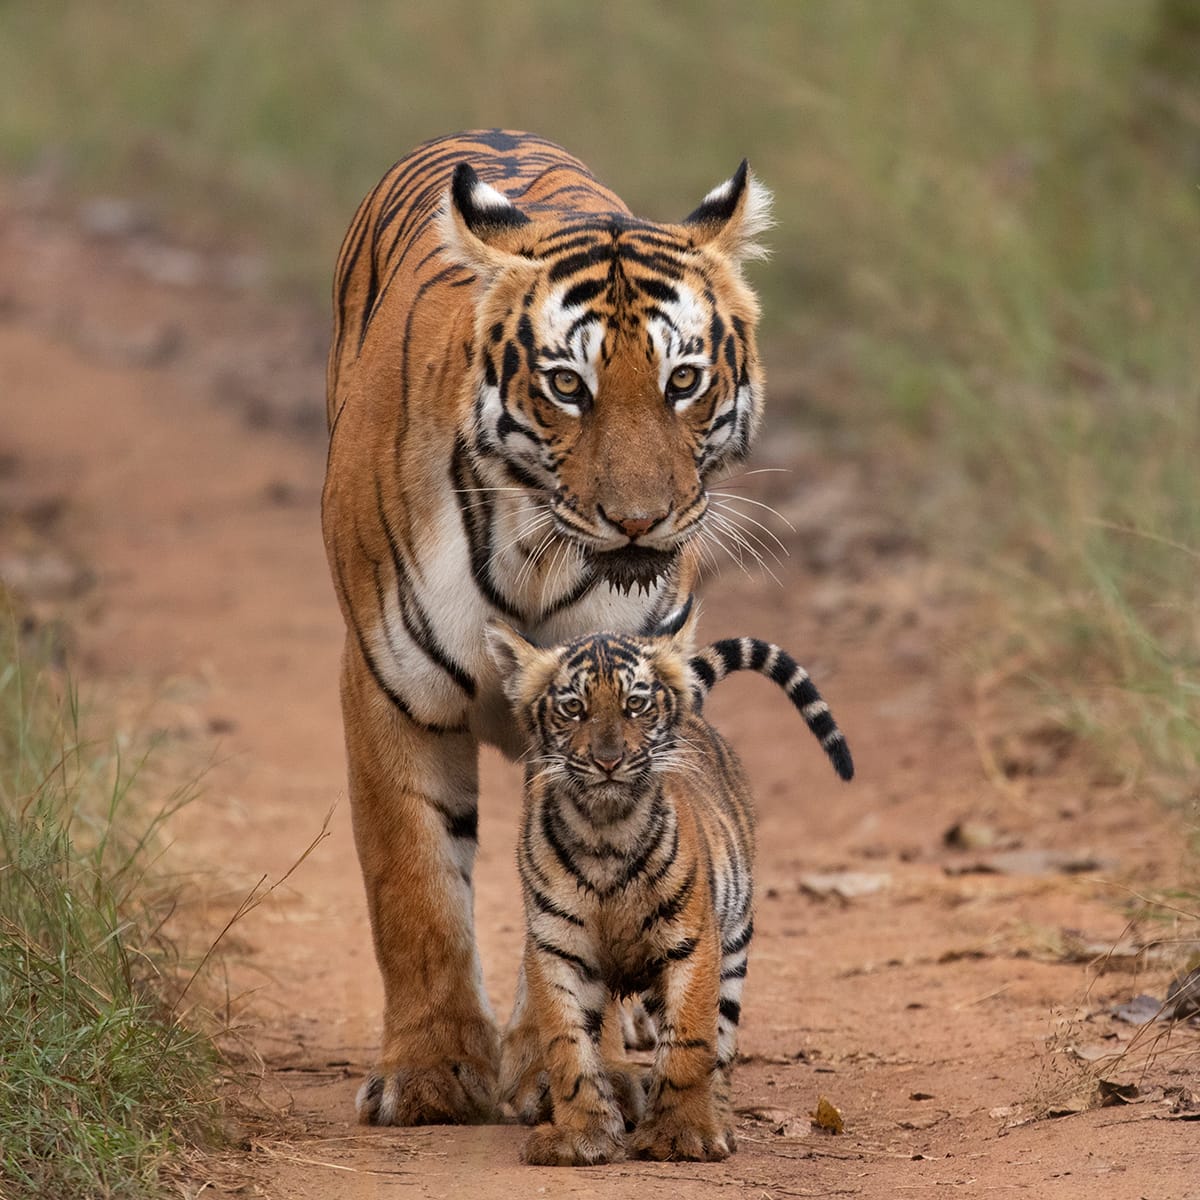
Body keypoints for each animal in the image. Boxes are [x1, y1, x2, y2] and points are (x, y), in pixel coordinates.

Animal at [322, 130, 774, 1125]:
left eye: (684, 380)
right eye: (569, 386)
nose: (640, 521)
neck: (535, 547)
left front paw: (544, 1069)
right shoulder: (393, 689)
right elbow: (413, 888)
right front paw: (430, 1075)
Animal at [485, 601, 853, 1165]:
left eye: (635, 704)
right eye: (574, 708)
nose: (608, 760)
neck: (606, 829)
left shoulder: (691, 945)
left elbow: (689, 1046)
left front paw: (681, 1135)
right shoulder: (559, 948)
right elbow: (570, 1048)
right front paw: (581, 1137)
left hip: (733, 944)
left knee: (720, 1043)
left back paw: (719, 1122)